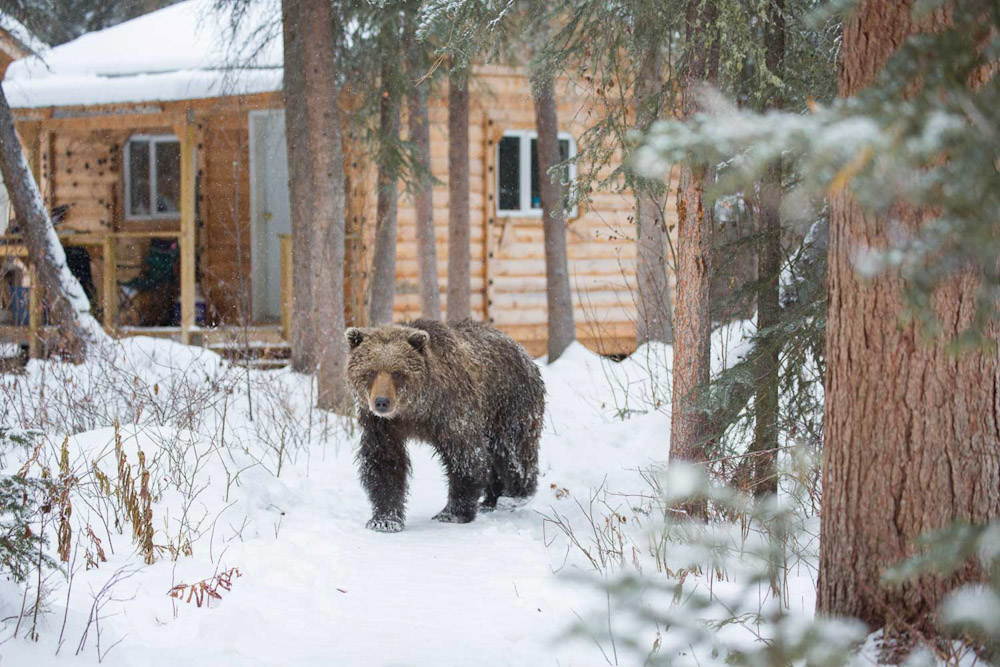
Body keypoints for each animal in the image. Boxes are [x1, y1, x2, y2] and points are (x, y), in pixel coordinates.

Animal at [346, 318, 548, 532]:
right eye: (370, 372)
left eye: (398, 373)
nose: (382, 402)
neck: (415, 409)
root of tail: (523, 351)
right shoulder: (382, 424)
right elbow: (384, 461)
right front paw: (384, 520)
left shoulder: (451, 411)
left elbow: (465, 456)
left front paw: (452, 513)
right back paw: (490, 501)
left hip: (509, 403)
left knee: (512, 451)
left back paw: (514, 496)